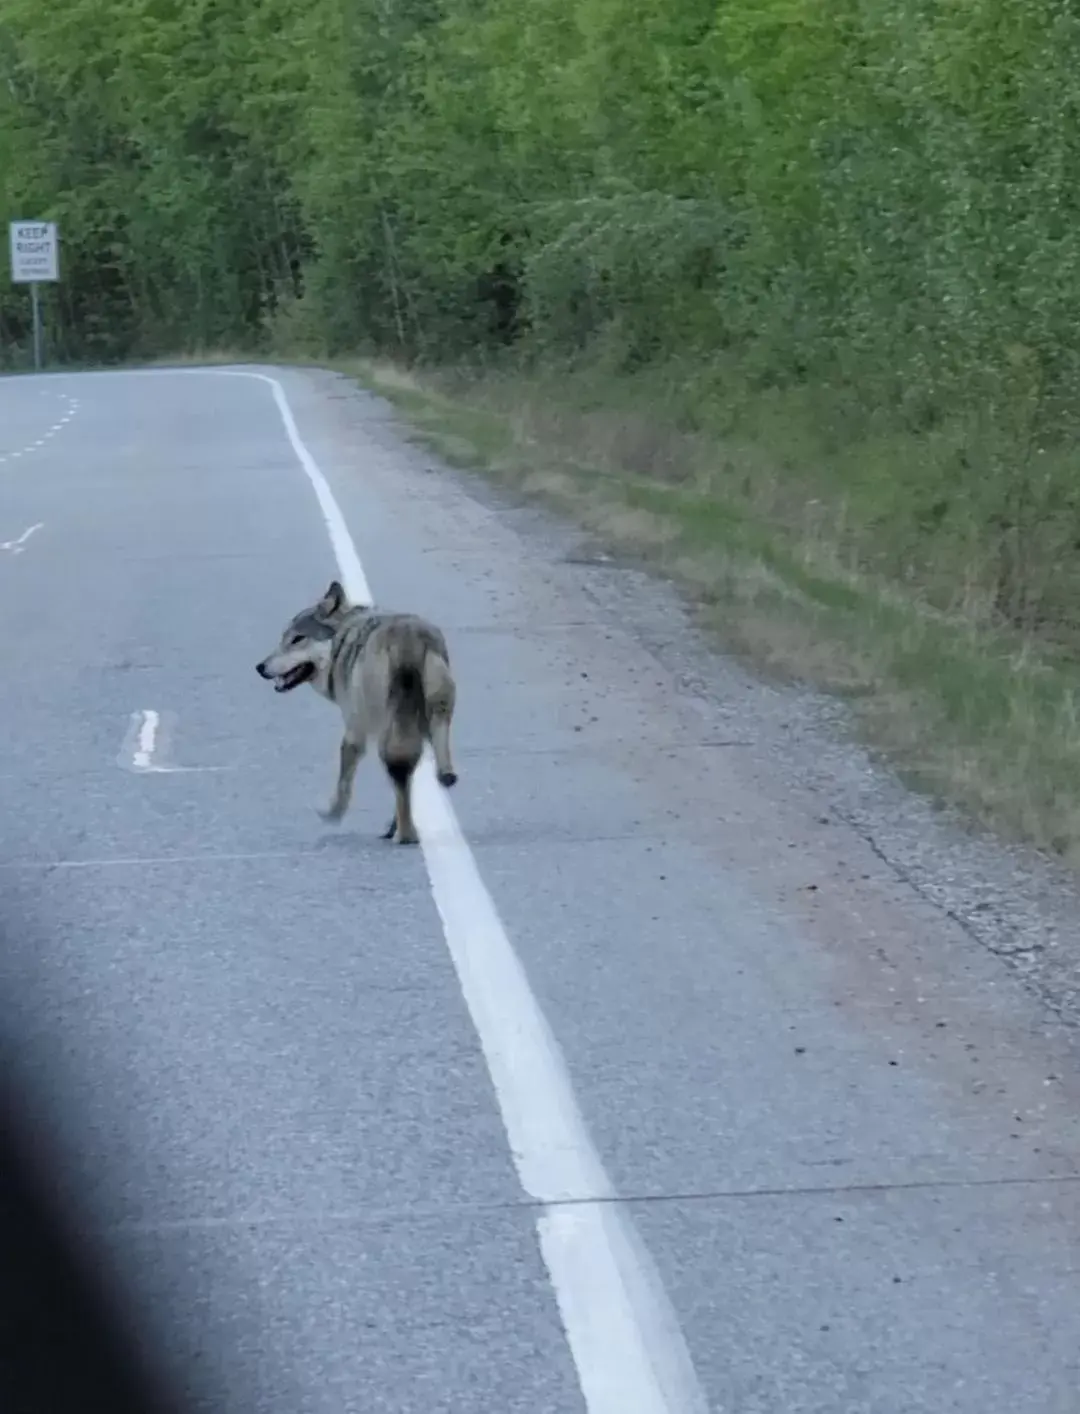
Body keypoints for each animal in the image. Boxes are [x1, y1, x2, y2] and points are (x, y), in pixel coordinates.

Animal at [258, 579, 460, 842]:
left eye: (297, 639)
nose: (260, 667)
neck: (341, 640)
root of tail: (410, 642)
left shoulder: (354, 732)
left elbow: (344, 783)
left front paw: (330, 813)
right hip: (435, 720)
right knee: (431, 770)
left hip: (388, 731)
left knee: (399, 775)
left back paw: (405, 834)